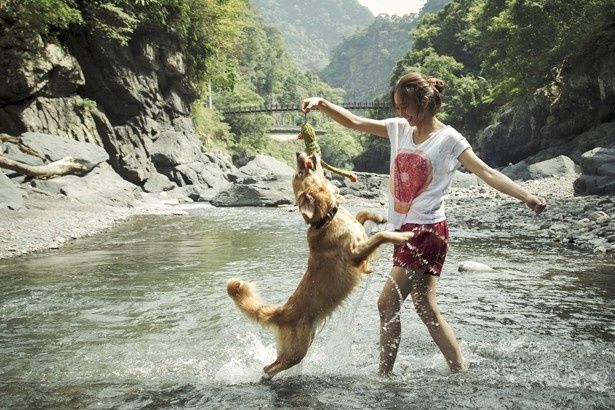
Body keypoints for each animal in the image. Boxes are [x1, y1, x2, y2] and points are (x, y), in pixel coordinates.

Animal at [226, 153, 414, 378]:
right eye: (299, 172)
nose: (299, 153)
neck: (326, 219)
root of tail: (281, 312)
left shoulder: (357, 233)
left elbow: (362, 214)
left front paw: (379, 217)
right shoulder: (354, 255)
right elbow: (380, 235)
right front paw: (402, 235)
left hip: (302, 344)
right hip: (296, 351)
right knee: (269, 367)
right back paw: (266, 376)